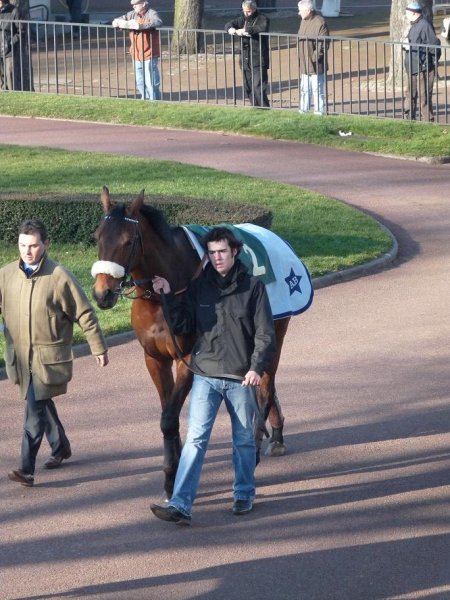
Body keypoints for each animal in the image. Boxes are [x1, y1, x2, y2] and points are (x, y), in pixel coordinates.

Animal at [92, 188, 290, 496]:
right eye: (97, 237)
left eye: (128, 241)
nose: (103, 293)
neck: (163, 295)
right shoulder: (154, 358)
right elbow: (167, 415)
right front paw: (173, 473)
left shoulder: (188, 359)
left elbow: (168, 418)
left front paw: (171, 475)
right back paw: (277, 433)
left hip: (274, 332)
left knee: (265, 388)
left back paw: (257, 450)